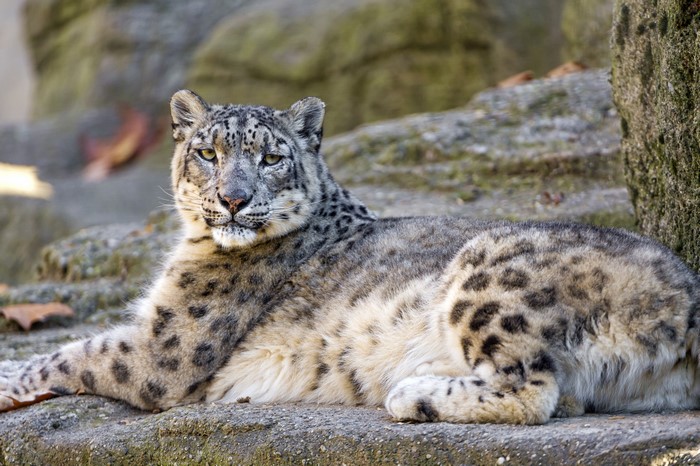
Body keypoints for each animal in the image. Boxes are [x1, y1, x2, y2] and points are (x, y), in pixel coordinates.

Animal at [1, 91, 698, 424]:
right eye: (206, 152)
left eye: (270, 156)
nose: (233, 199)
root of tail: (685, 295)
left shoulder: (162, 349)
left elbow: (73, 352)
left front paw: (9, 377)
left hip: (488, 277)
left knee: (534, 385)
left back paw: (411, 394)